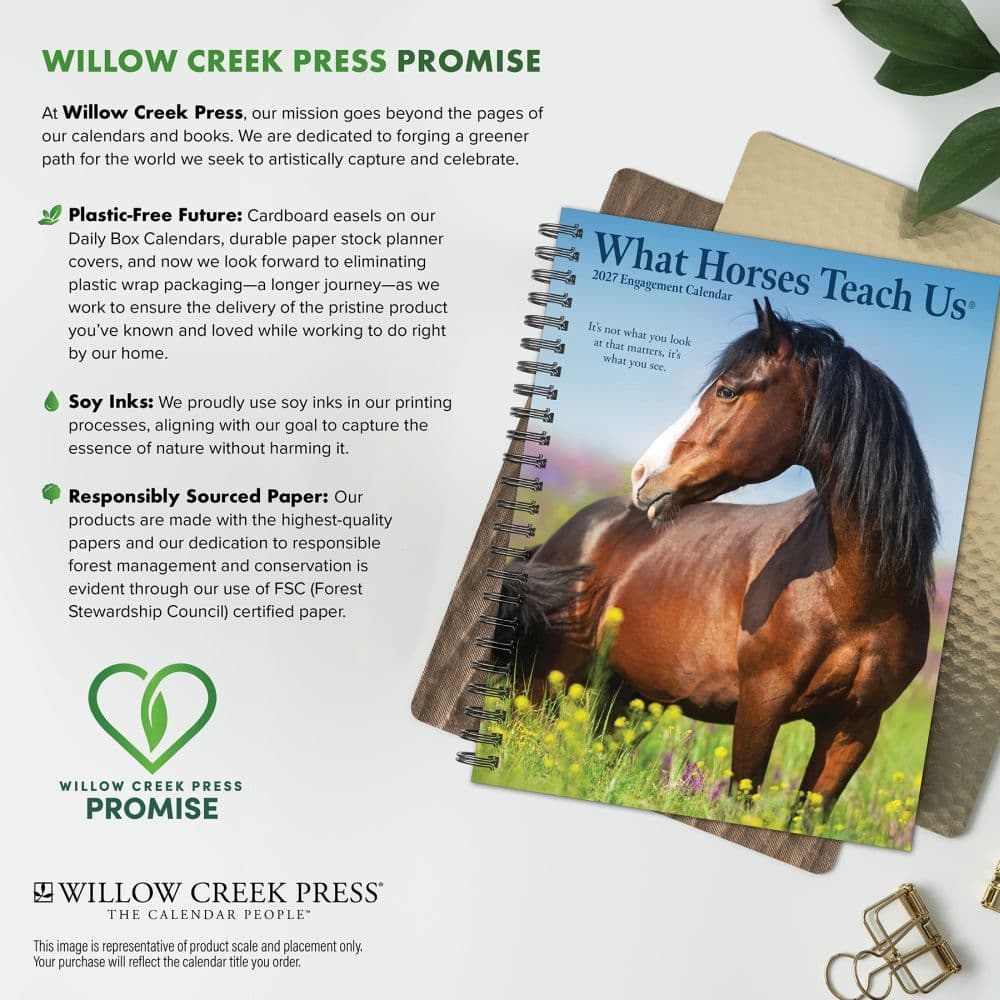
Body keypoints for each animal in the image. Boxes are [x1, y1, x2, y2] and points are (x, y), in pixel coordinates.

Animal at [505, 298, 937, 819]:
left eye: (727, 390)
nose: (642, 474)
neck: (853, 594)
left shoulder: (854, 727)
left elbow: (808, 817)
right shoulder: (762, 704)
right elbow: (741, 799)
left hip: (626, 696)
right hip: (545, 683)